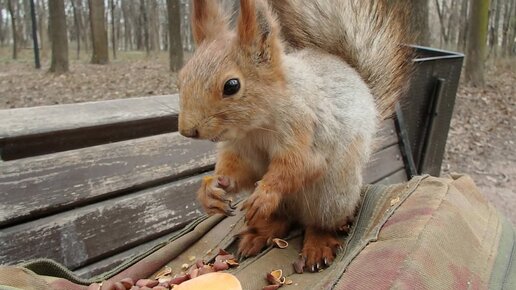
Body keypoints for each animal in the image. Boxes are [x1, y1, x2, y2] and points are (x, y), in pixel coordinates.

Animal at [177, 0, 412, 272]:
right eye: (181, 78)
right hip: (291, 206)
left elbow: (298, 166)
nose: (188, 131)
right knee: (283, 220)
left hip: (333, 198)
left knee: (318, 223)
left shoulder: (306, 129)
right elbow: (238, 170)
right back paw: (260, 233)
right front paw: (211, 190)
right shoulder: (239, 148)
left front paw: (265, 194)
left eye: (232, 86)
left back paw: (318, 244)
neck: (256, 128)